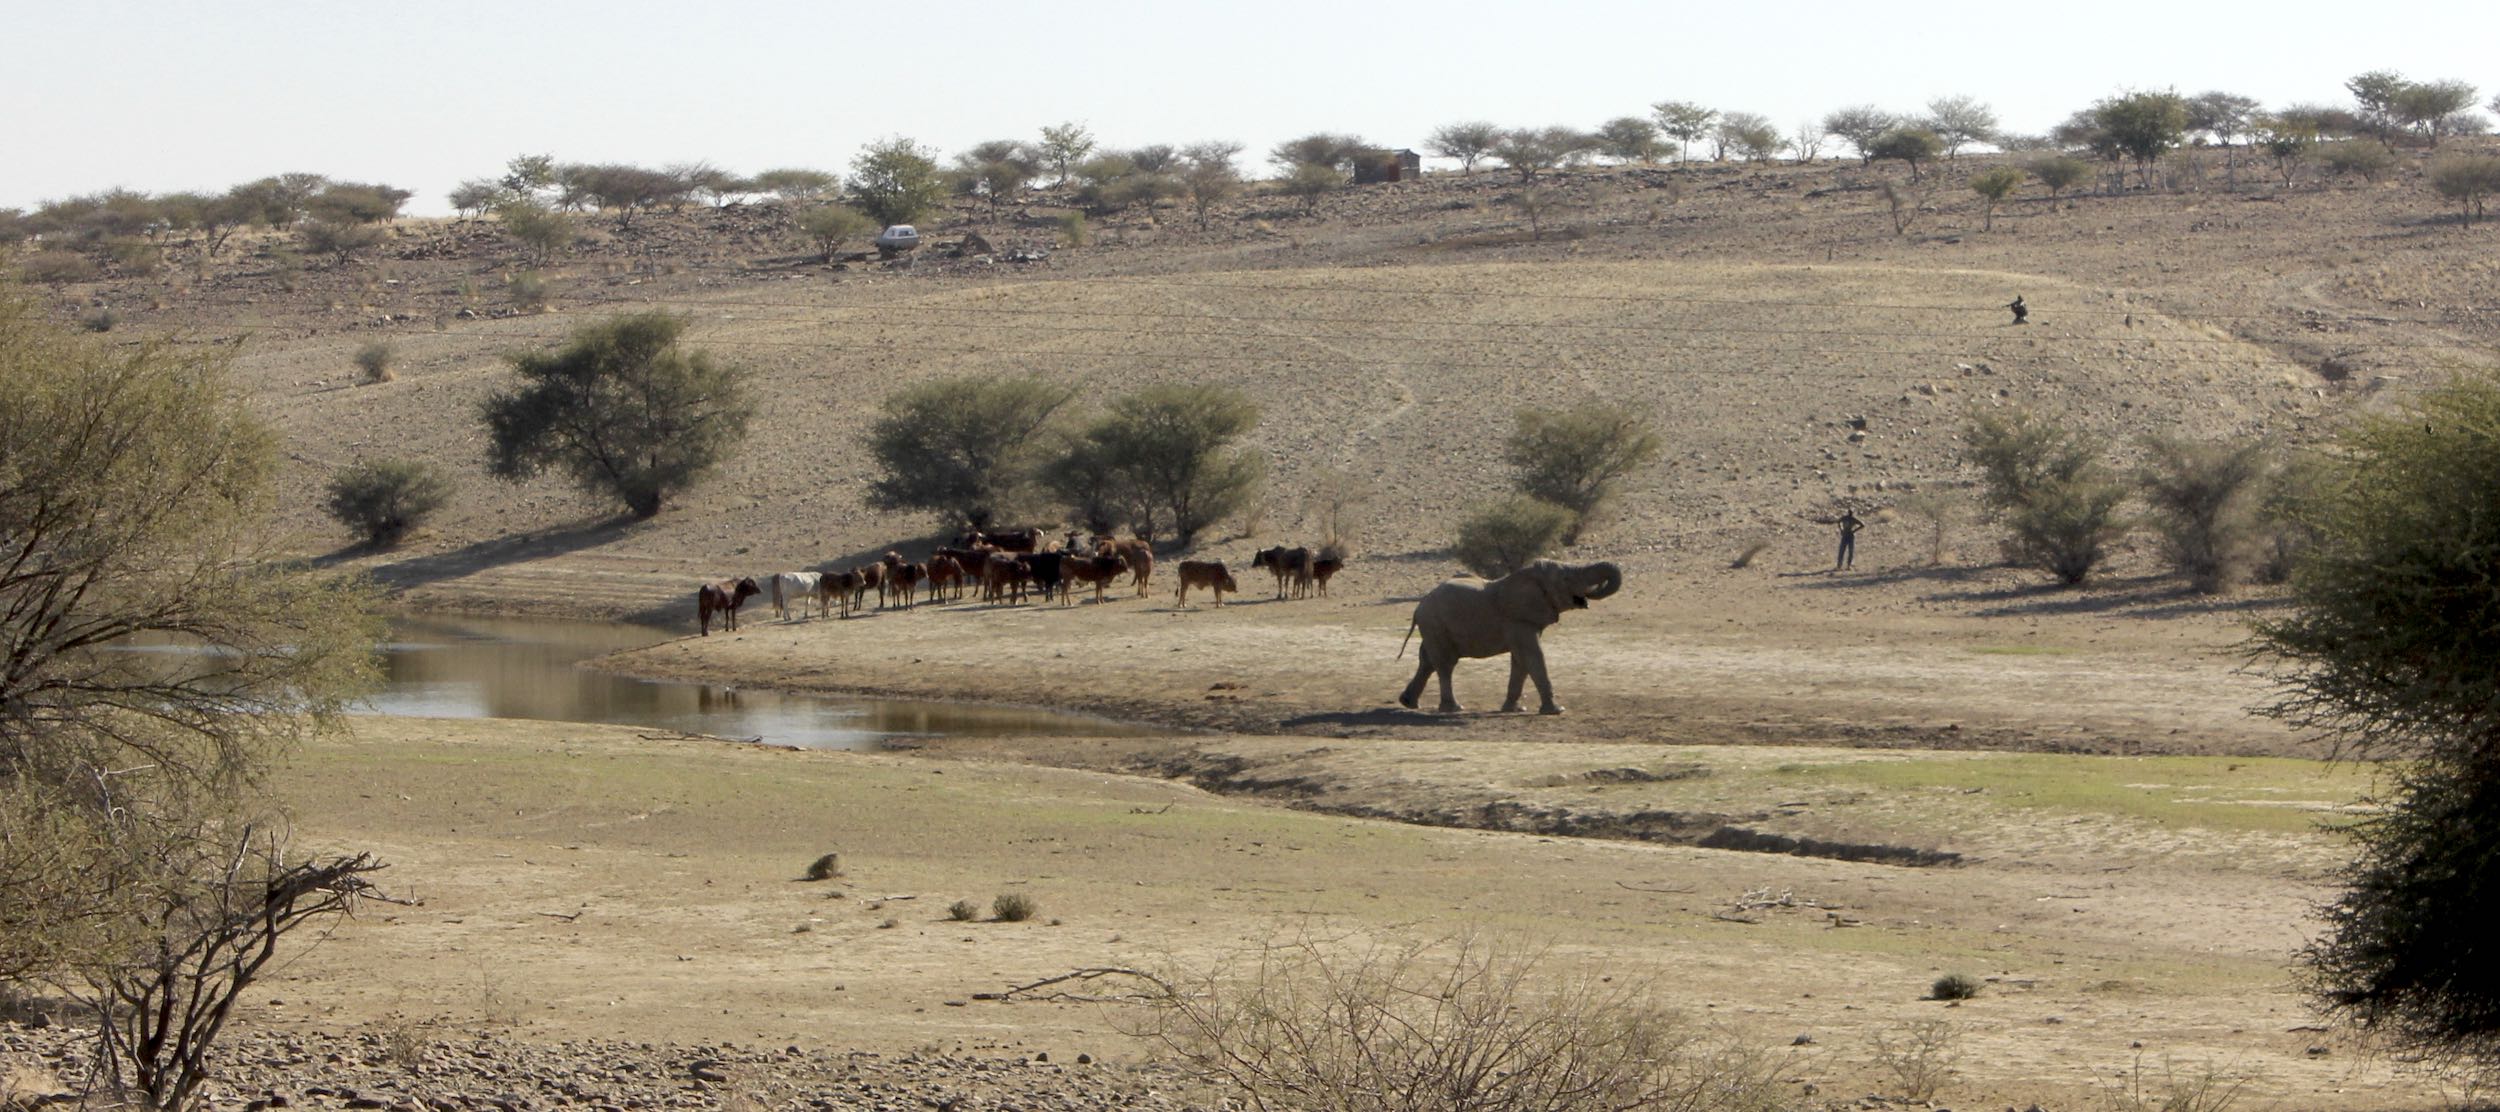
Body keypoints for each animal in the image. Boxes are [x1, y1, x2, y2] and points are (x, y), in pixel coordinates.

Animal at [1397, 559, 1622, 715]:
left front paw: (1514, 709)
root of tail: (1419, 606)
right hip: (1436, 624)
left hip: (1434, 627)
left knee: (1427, 661)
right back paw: (1454, 708)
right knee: (1445, 664)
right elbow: (1533, 656)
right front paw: (1556, 711)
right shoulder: (1519, 619)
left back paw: (1408, 703)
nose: (1587, 596)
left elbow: (1521, 661)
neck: (1530, 575)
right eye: (1566, 579)